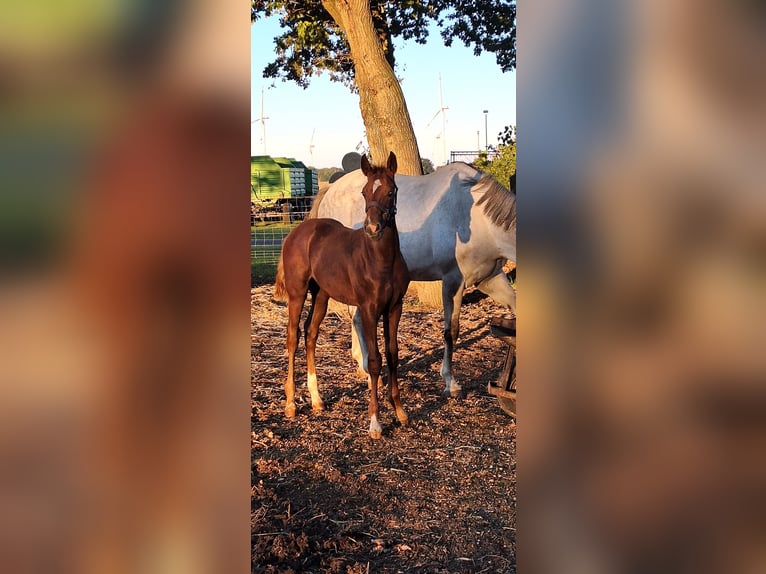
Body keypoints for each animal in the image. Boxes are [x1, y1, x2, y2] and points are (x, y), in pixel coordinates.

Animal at [274, 152, 410, 439]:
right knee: (292, 336)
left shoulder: (395, 307)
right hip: (297, 292)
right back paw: (291, 404)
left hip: (321, 295)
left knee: (310, 333)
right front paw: (375, 423)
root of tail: (299, 230)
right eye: (364, 191)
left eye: (391, 191)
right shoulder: (369, 309)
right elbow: (374, 361)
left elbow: (393, 354)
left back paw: (317, 400)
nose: (373, 228)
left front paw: (400, 411)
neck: (381, 260)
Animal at [310, 163, 516, 398]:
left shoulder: (490, 279)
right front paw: (450, 382)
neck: (477, 218)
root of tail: (330, 191)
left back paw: (362, 365)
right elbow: (451, 332)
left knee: (356, 318)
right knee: (357, 319)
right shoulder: (453, 282)